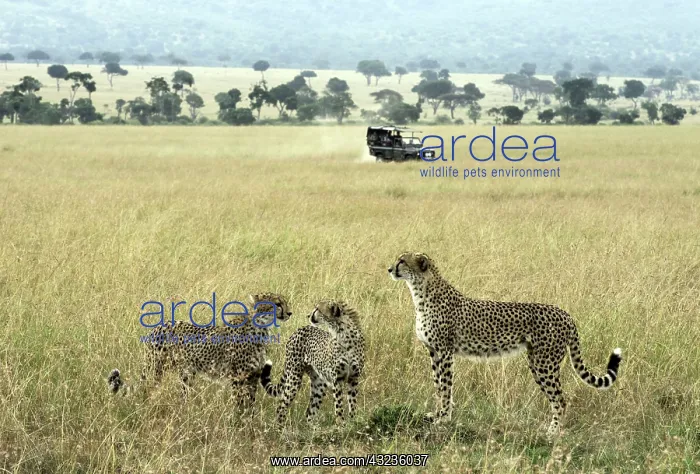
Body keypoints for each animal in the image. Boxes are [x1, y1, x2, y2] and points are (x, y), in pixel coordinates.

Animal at [107, 292, 292, 408]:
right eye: (277, 304)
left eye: (285, 301)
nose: (290, 312)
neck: (260, 328)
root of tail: (158, 327)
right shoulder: (238, 378)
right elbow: (240, 405)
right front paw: (239, 425)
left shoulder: (253, 376)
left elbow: (250, 406)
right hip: (158, 370)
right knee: (149, 390)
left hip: (186, 374)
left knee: (182, 394)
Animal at [388, 251, 622, 438]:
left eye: (402, 261)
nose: (389, 268)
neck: (421, 292)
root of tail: (565, 313)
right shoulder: (434, 352)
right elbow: (438, 386)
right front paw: (436, 414)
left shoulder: (445, 352)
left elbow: (445, 387)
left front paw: (443, 419)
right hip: (537, 362)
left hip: (545, 364)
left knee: (560, 400)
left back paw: (552, 432)